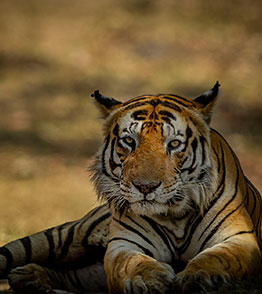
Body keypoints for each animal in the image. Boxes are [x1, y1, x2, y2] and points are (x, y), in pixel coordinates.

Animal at [0, 81, 260, 294]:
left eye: (174, 144)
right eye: (129, 141)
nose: (146, 187)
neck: (174, 216)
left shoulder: (240, 239)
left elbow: (216, 258)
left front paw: (197, 277)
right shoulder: (124, 243)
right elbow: (132, 262)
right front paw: (150, 278)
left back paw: (30, 277)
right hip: (67, 237)